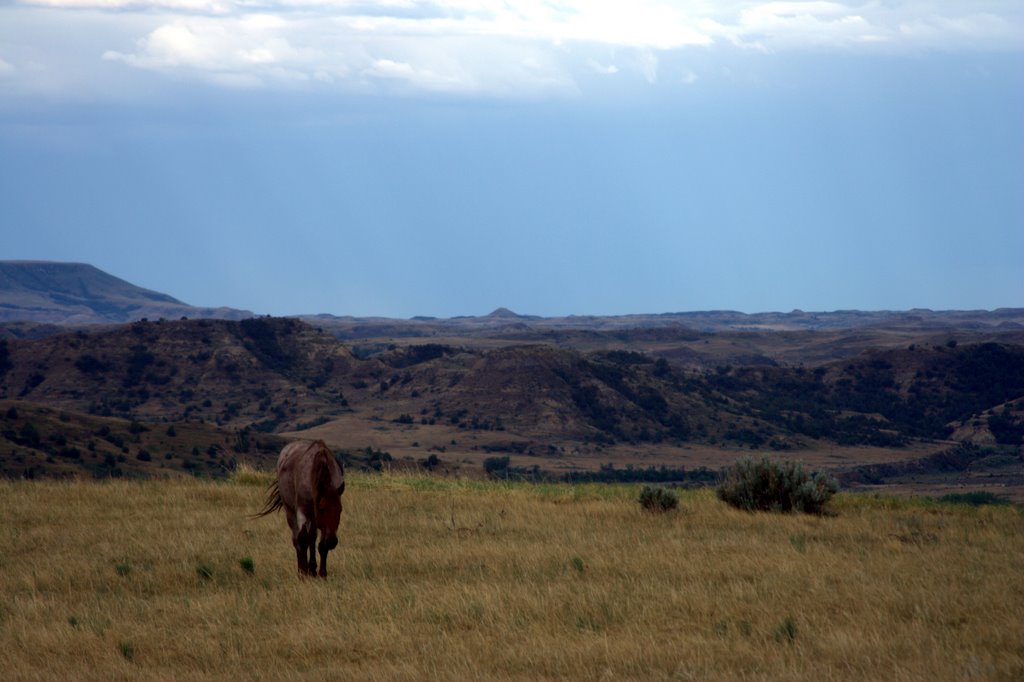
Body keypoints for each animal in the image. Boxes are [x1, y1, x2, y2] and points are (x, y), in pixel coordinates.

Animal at [253, 438, 346, 577]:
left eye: (340, 510)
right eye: (322, 509)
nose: (332, 541)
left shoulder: (321, 522)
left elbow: (320, 545)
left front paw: (322, 573)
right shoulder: (303, 511)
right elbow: (302, 540)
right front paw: (303, 573)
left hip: (312, 517)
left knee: (312, 537)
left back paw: (312, 568)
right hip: (292, 512)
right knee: (297, 539)